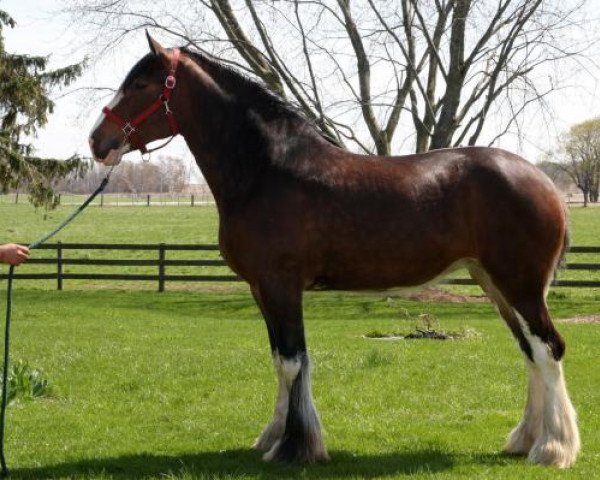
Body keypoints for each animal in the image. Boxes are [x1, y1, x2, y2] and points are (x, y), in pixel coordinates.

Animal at [89, 34, 580, 468]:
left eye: (141, 84)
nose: (97, 141)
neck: (267, 170)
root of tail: (545, 183)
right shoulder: (262, 289)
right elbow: (279, 361)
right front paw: (273, 436)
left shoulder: (282, 285)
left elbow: (292, 362)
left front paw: (294, 447)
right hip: (495, 285)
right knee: (530, 351)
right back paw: (524, 440)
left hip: (520, 286)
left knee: (548, 349)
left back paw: (551, 449)